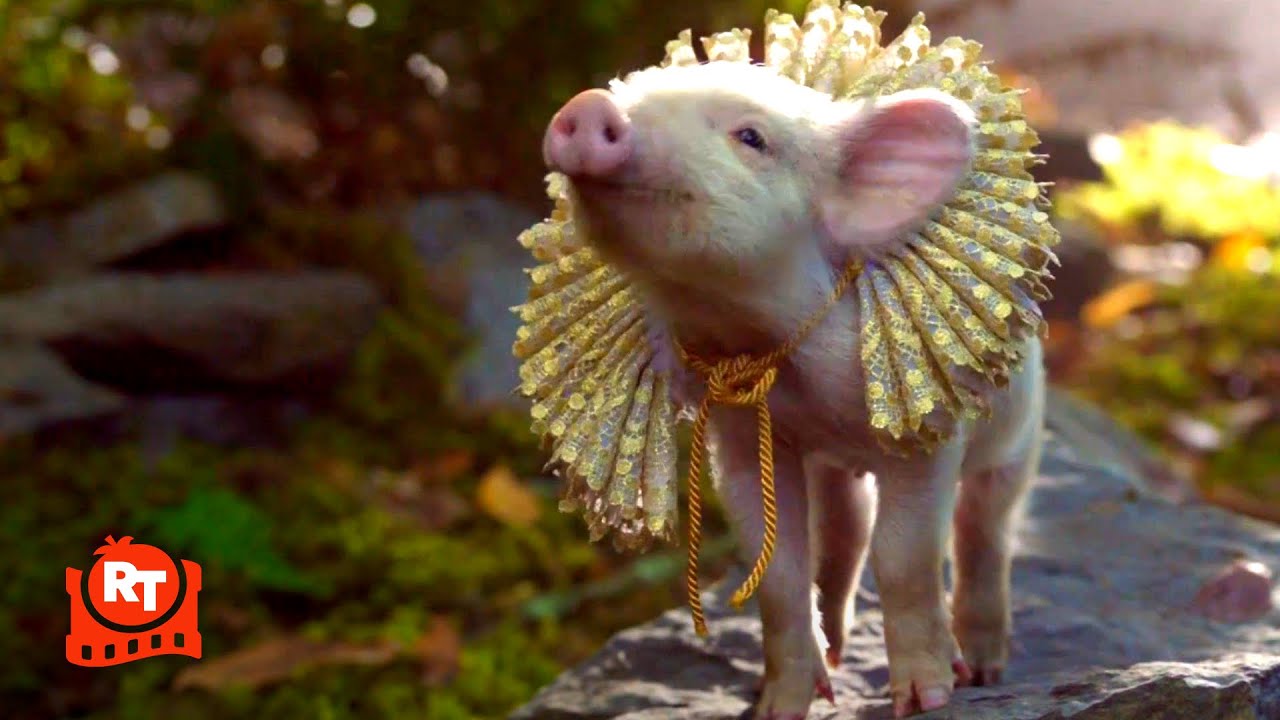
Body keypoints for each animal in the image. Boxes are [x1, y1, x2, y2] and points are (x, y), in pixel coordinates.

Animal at [541, 60, 1045, 720]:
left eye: (751, 137)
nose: (589, 106)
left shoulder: (928, 427)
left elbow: (903, 556)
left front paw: (927, 697)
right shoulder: (740, 437)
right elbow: (776, 568)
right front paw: (776, 708)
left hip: (1020, 432)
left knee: (987, 528)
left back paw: (984, 670)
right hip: (836, 471)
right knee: (844, 526)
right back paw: (838, 653)